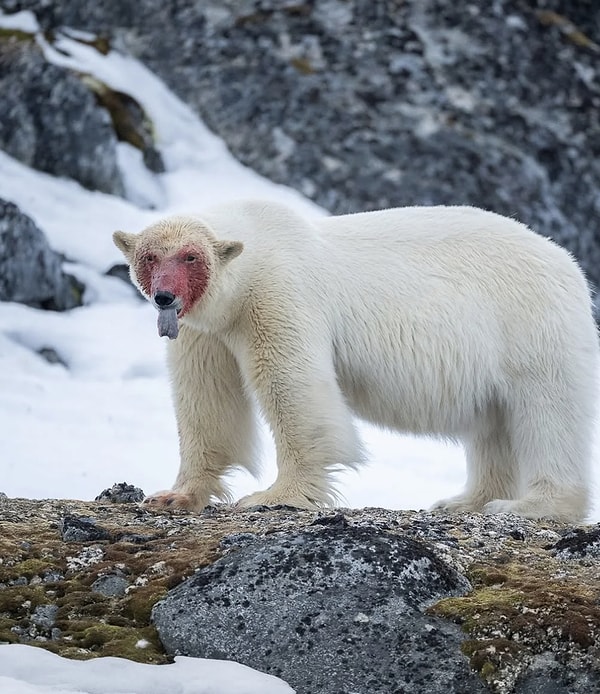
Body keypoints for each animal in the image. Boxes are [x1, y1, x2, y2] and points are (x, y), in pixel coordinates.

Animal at [113, 201, 600, 520]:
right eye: (150, 256)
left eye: (191, 256)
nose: (164, 296)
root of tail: (570, 264)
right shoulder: (204, 330)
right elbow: (206, 399)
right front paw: (173, 496)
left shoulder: (277, 294)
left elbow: (292, 385)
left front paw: (274, 495)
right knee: (493, 423)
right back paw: (464, 500)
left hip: (529, 325)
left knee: (546, 413)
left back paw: (532, 505)